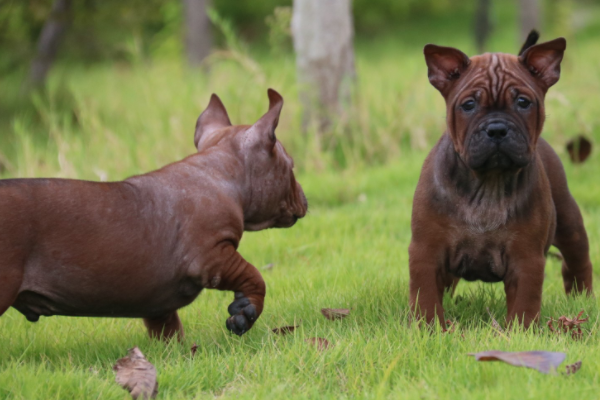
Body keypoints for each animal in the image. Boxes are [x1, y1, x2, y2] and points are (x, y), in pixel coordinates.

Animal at [0, 89, 308, 340]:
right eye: (291, 165)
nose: (306, 197)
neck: (219, 173)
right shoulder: (213, 257)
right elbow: (255, 275)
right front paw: (246, 312)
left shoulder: (159, 305)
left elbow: (168, 331)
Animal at [410, 36, 592, 328]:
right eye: (468, 105)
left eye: (523, 102)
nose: (496, 129)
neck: (487, 182)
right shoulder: (426, 250)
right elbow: (424, 293)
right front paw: (428, 327)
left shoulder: (526, 257)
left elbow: (525, 299)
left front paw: (520, 330)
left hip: (569, 222)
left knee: (577, 261)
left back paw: (583, 298)